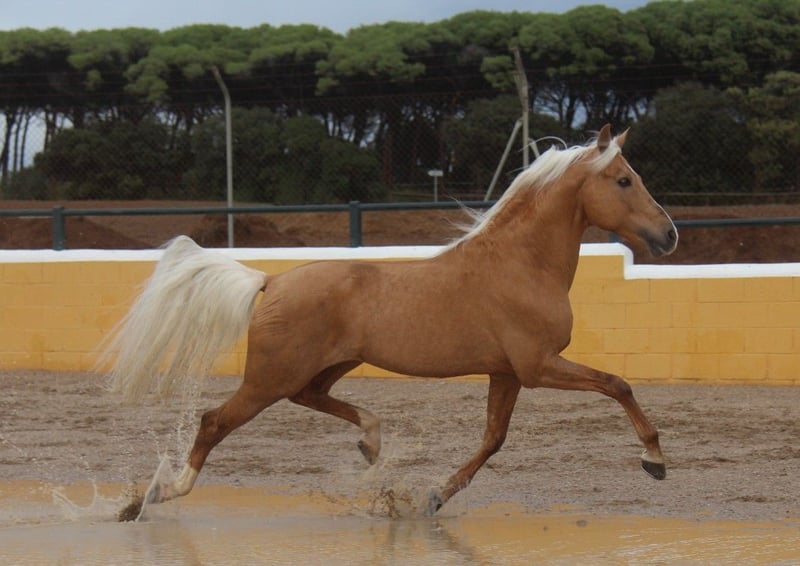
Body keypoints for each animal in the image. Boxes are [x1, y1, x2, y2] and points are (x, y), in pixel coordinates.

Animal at [105, 124, 678, 515]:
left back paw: (371, 440)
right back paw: (160, 493)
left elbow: (494, 438)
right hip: (270, 376)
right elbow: (618, 384)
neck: (521, 265)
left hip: (325, 366)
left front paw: (433, 497)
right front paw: (654, 459)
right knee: (214, 420)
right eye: (623, 180)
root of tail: (270, 282)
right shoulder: (538, 366)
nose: (669, 235)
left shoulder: (508, 372)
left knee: (310, 398)